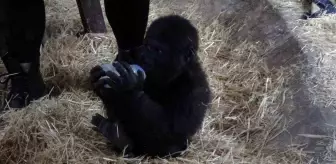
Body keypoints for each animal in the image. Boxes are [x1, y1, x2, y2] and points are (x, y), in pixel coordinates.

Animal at [89, 15, 210, 158]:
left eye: (158, 51)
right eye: (147, 47)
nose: (146, 57)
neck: (176, 74)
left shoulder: (197, 89)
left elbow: (172, 129)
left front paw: (128, 89)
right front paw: (100, 80)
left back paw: (119, 138)